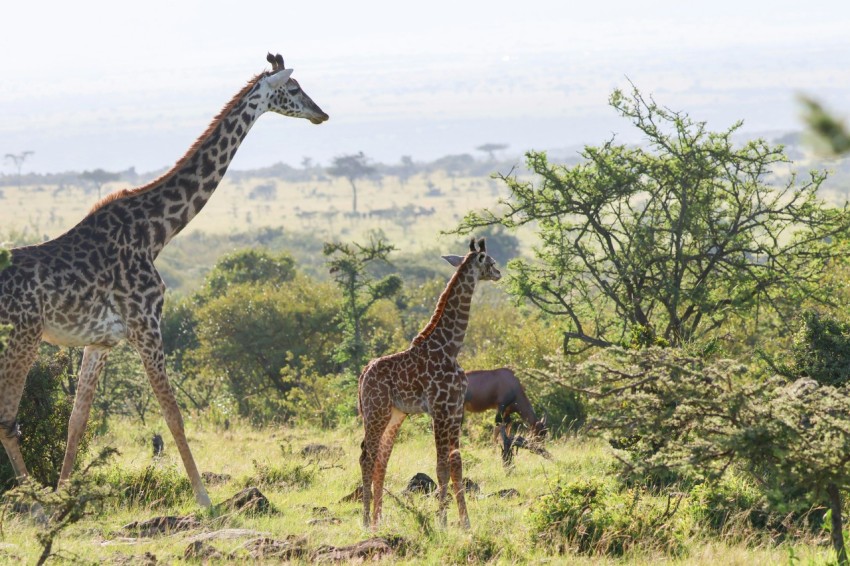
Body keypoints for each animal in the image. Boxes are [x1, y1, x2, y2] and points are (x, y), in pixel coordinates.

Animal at [0, 53, 328, 508]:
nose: (321, 114)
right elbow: (174, 415)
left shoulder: (100, 342)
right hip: (23, 335)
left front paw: (65, 495)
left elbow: (76, 421)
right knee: (6, 417)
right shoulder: (146, 325)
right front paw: (205, 498)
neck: (156, 231)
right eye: (294, 88)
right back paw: (31, 499)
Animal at [356, 237, 500, 532]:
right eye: (490, 261)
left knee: (380, 461)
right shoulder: (441, 411)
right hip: (376, 412)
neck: (450, 347)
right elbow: (441, 466)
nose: (500, 273)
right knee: (367, 456)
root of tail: (363, 374)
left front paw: (465, 522)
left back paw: (378, 521)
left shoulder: (456, 410)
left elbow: (456, 464)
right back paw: (365, 521)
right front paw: (442, 521)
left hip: (394, 415)